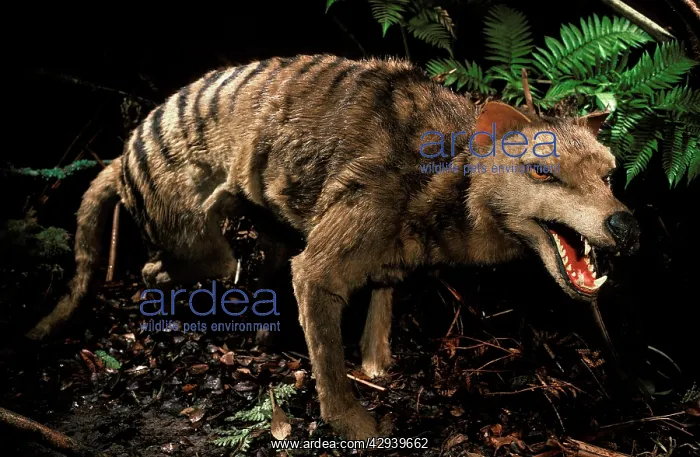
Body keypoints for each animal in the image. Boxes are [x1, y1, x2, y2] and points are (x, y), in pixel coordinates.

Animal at [26, 54, 640, 440]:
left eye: (611, 175)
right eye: (543, 172)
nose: (626, 225)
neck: (447, 173)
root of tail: (120, 153)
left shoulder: (392, 261)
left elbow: (380, 311)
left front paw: (378, 365)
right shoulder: (329, 256)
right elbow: (327, 347)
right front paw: (353, 422)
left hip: (262, 228)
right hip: (199, 248)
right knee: (161, 270)